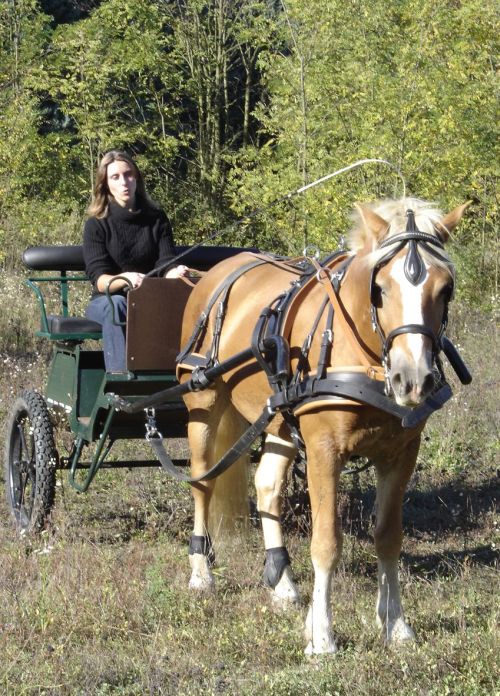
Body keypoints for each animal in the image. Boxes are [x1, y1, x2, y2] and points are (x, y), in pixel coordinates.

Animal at [178, 196, 470, 652]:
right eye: (380, 289)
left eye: (445, 288)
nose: (413, 379)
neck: (364, 356)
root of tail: (219, 270)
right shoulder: (323, 449)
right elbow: (327, 542)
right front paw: (321, 636)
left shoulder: (401, 452)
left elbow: (389, 537)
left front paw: (396, 625)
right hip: (203, 405)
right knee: (203, 482)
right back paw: (200, 573)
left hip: (280, 419)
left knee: (266, 484)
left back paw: (282, 583)